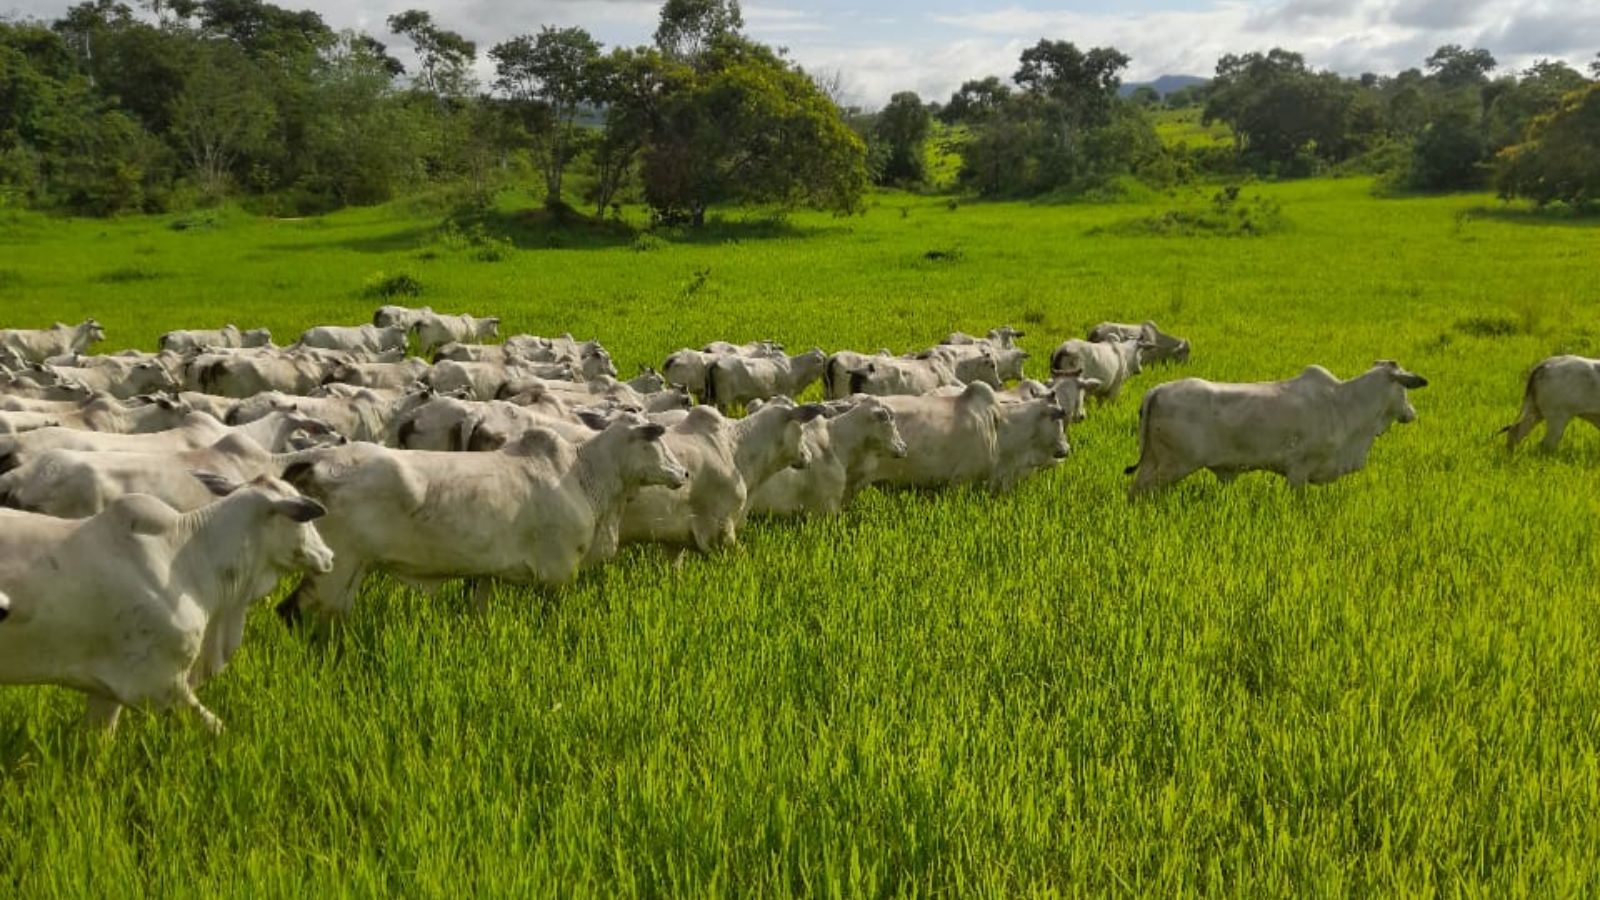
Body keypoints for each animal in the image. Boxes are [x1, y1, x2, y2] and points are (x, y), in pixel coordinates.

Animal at [0, 470, 329, 730]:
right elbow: (217, 729)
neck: (191, 558)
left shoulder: (107, 690)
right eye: (303, 520)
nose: (328, 555)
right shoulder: (162, 685)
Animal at [1120, 358, 1433, 496]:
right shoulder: (1298, 470)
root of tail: (1156, 390)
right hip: (1174, 465)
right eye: (1405, 389)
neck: (1345, 404)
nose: (1412, 413)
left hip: (1153, 460)